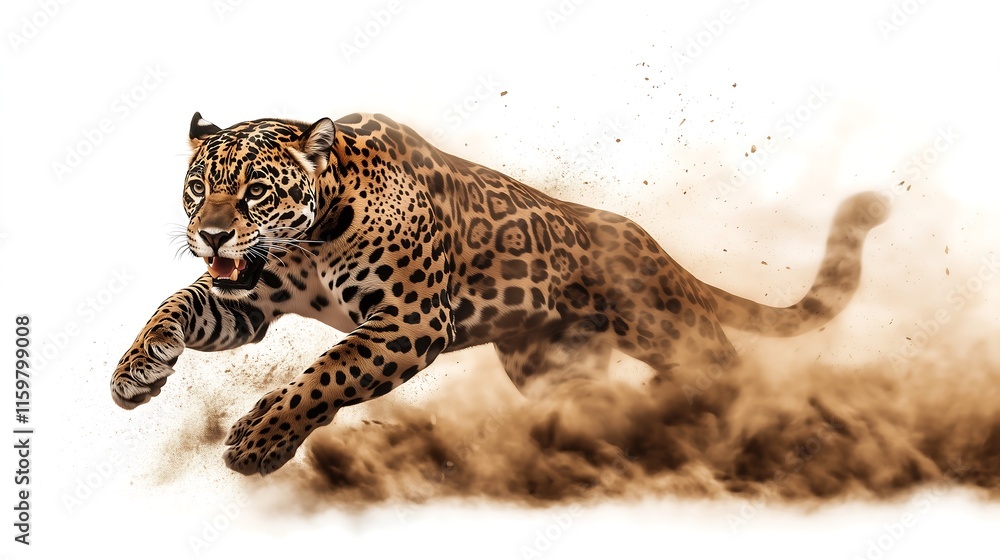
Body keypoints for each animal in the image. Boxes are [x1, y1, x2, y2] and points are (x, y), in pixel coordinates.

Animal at [110, 111, 889, 476]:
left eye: (256, 191)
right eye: (198, 187)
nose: (210, 235)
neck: (313, 238)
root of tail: (653, 245)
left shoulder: (410, 323)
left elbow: (325, 375)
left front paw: (260, 441)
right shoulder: (250, 300)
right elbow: (176, 306)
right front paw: (136, 373)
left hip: (674, 331)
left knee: (736, 374)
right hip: (550, 367)